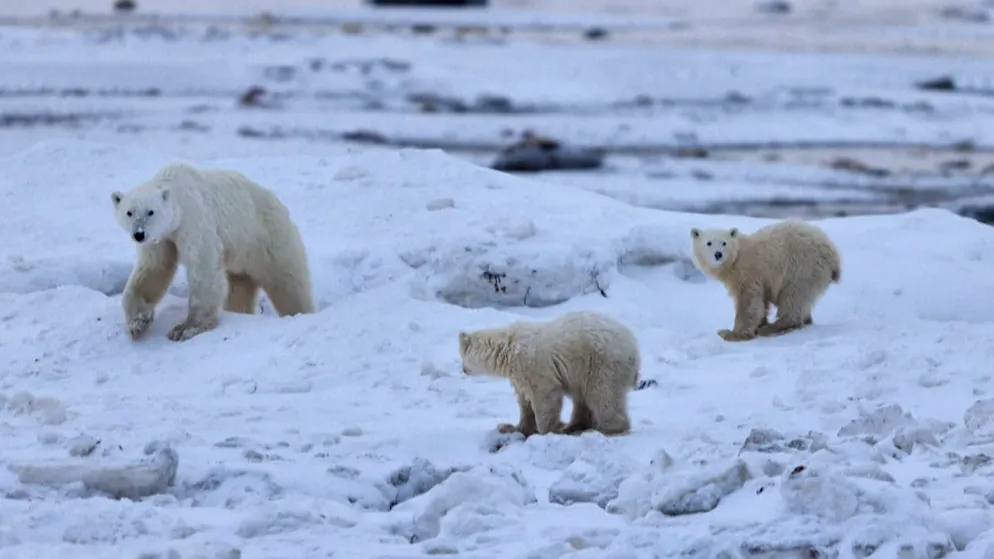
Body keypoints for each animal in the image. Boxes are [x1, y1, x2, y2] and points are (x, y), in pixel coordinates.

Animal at [111, 162, 315, 342]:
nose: (139, 234)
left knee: (289, 284)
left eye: (151, 212)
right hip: (242, 258)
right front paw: (137, 323)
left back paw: (301, 312)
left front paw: (185, 329)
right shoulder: (161, 238)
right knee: (240, 289)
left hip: (268, 239)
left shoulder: (194, 219)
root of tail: (281, 207)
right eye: (129, 212)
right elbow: (153, 270)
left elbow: (203, 266)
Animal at [458, 310, 641, 437]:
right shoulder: (519, 375)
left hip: (601, 362)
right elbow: (524, 401)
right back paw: (574, 426)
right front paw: (514, 427)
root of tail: (634, 347)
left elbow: (545, 397)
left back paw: (606, 428)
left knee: (603, 394)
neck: (509, 348)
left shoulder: (534, 365)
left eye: (462, 357)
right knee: (583, 398)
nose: (463, 370)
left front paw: (547, 430)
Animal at [690, 219, 842, 343]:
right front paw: (759, 323)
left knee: (793, 297)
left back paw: (773, 327)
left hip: (802, 267)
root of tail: (833, 255)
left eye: (724, 243)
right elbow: (762, 303)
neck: (735, 259)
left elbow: (748, 302)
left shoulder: (748, 273)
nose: (718, 254)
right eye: (708, 243)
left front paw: (731, 334)